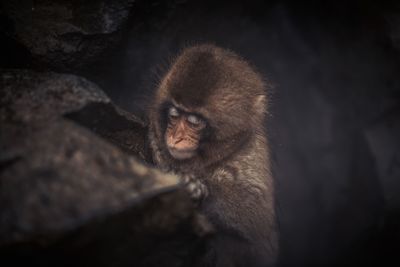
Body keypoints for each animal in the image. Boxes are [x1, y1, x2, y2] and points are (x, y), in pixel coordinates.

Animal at [147, 45, 278, 266]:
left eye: (194, 121)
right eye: (174, 115)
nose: (175, 138)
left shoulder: (252, 156)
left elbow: (254, 225)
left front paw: (193, 187)